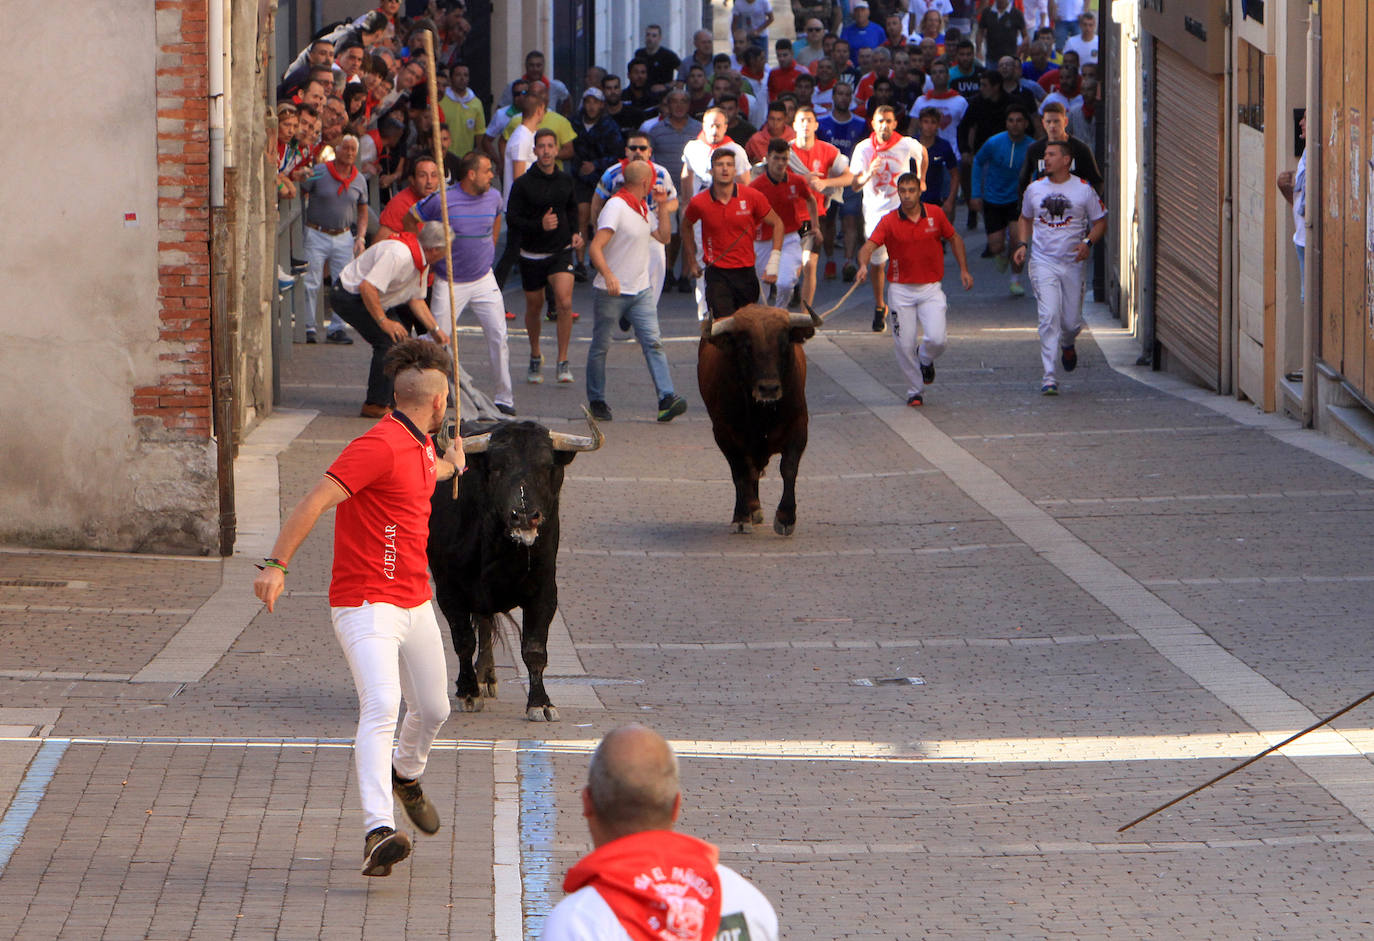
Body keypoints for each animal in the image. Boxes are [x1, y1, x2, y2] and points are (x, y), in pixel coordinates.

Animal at [428, 412, 601, 719]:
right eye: (498, 468)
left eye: (546, 466)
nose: (523, 516)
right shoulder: (450, 590)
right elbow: (463, 640)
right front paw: (468, 693)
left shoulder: (545, 590)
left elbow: (534, 648)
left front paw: (541, 703)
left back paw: (486, 675)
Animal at [697, 302, 813, 533]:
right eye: (746, 347)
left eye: (784, 344)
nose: (768, 388)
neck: (763, 414)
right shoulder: (725, 435)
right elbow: (741, 473)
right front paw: (742, 515)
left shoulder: (799, 427)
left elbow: (789, 468)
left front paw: (786, 517)